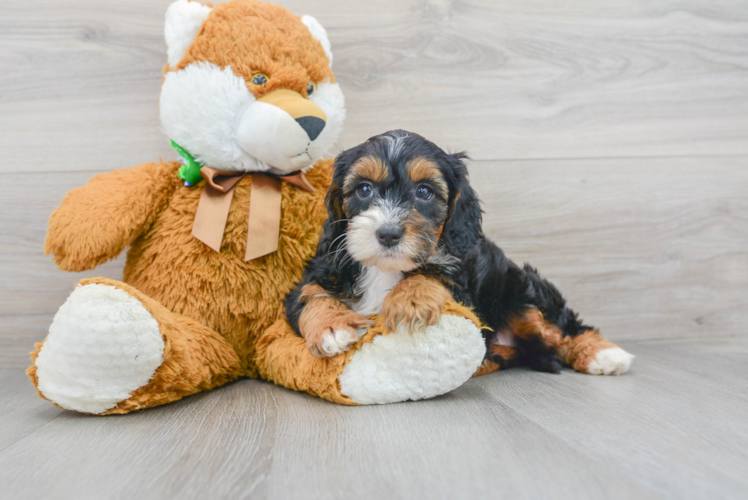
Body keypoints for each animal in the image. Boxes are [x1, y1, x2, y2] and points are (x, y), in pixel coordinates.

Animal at [284, 130, 636, 376]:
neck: (384, 269)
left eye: (424, 192)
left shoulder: (464, 282)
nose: (388, 233)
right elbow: (309, 294)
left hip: (521, 289)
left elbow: (434, 271)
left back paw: (605, 355)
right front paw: (332, 327)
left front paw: (410, 301)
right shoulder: (326, 264)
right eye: (364, 189)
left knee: (561, 326)